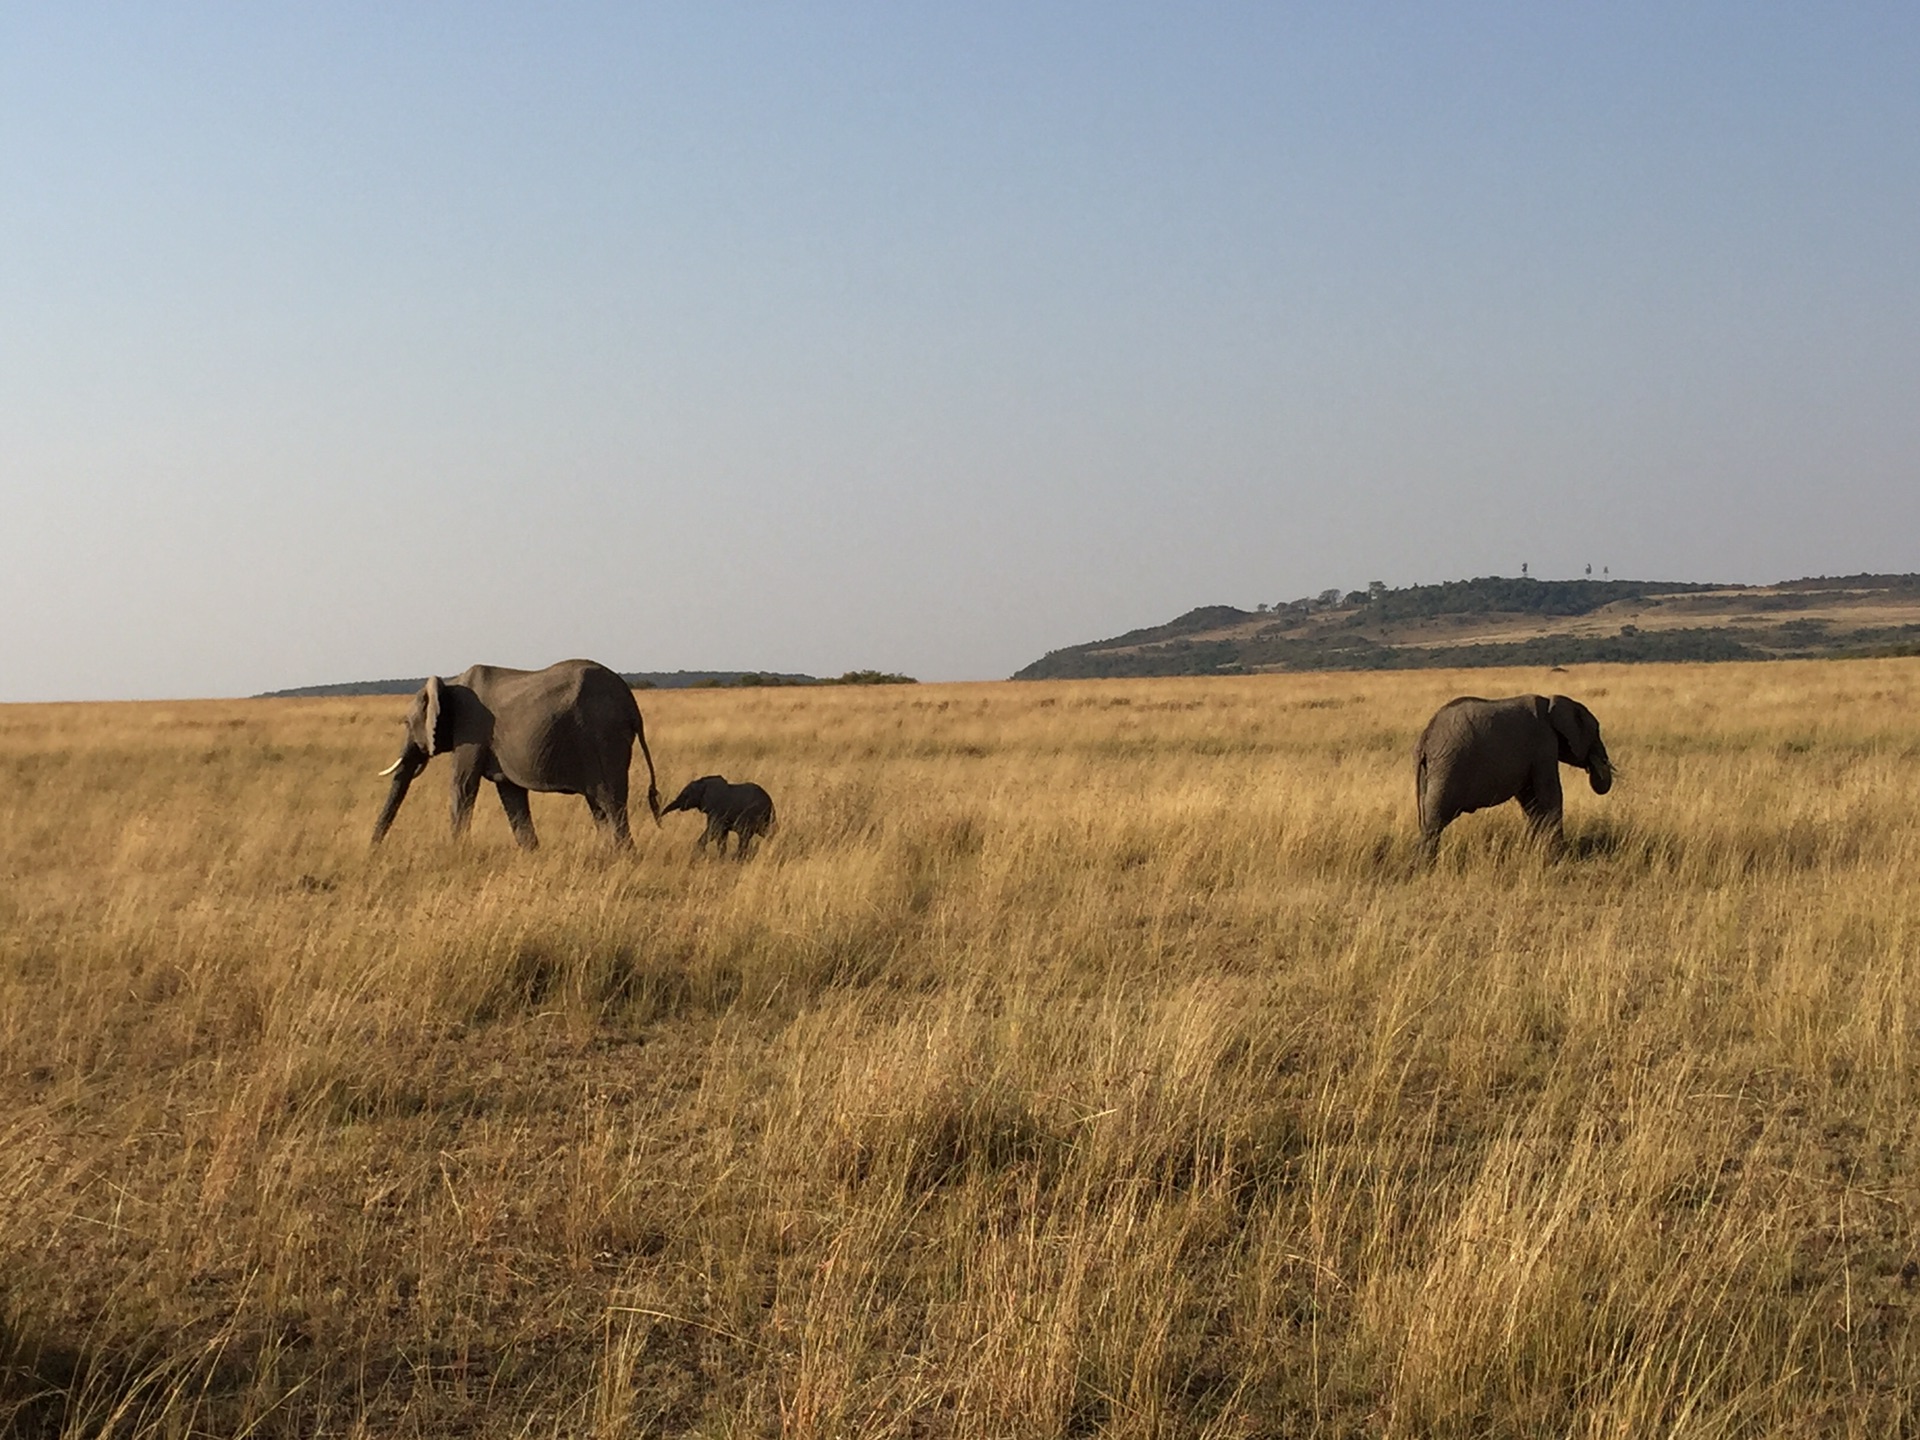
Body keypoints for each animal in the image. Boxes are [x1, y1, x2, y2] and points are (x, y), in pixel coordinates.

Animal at [370, 664, 664, 852]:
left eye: (407, 723)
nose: (373, 853)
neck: (450, 683)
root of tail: (632, 705)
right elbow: (510, 794)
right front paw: (531, 853)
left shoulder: (471, 728)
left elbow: (463, 785)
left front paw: (455, 853)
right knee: (599, 805)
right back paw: (609, 855)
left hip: (604, 737)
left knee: (611, 801)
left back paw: (625, 857)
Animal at [1420, 695, 1612, 864]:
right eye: (1596, 731)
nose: (1599, 763)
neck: (1551, 703)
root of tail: (1426, 735)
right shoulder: (1544, 743)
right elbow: (1550, 795)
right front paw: (1558, 857)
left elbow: (1531, 801)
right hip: (1447, 765)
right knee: (1435, 822)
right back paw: (1427, 865)